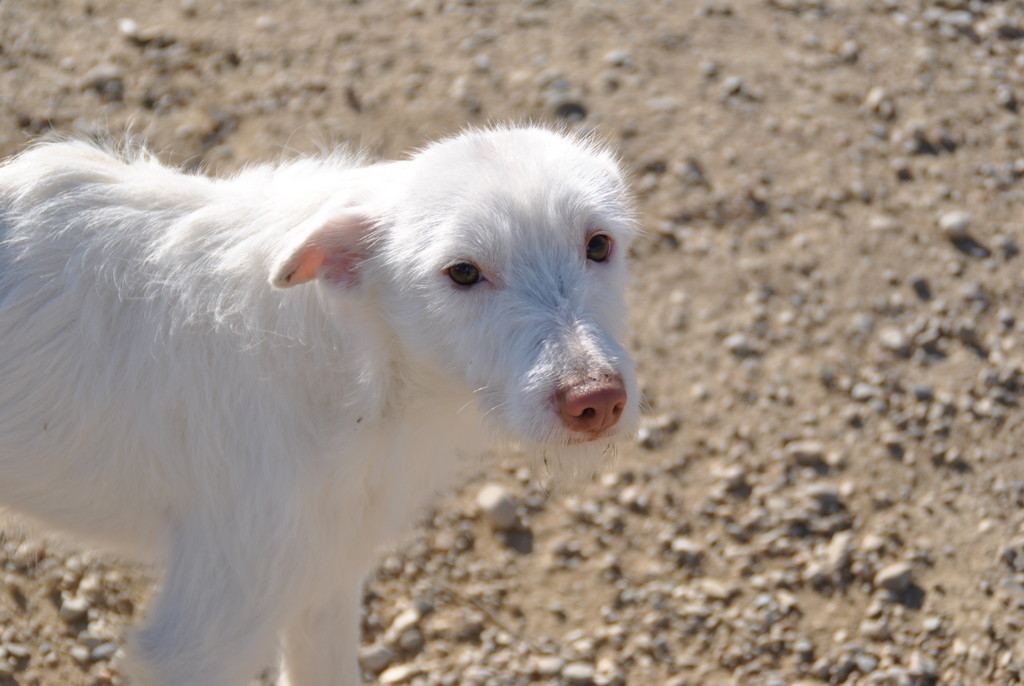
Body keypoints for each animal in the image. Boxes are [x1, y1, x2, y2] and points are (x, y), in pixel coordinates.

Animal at [0, 127, 634, 686]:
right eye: (462, 272)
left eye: (598, 245)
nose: (597, 400)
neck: (356, 372)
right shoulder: (204, 633)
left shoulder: (324, 573)